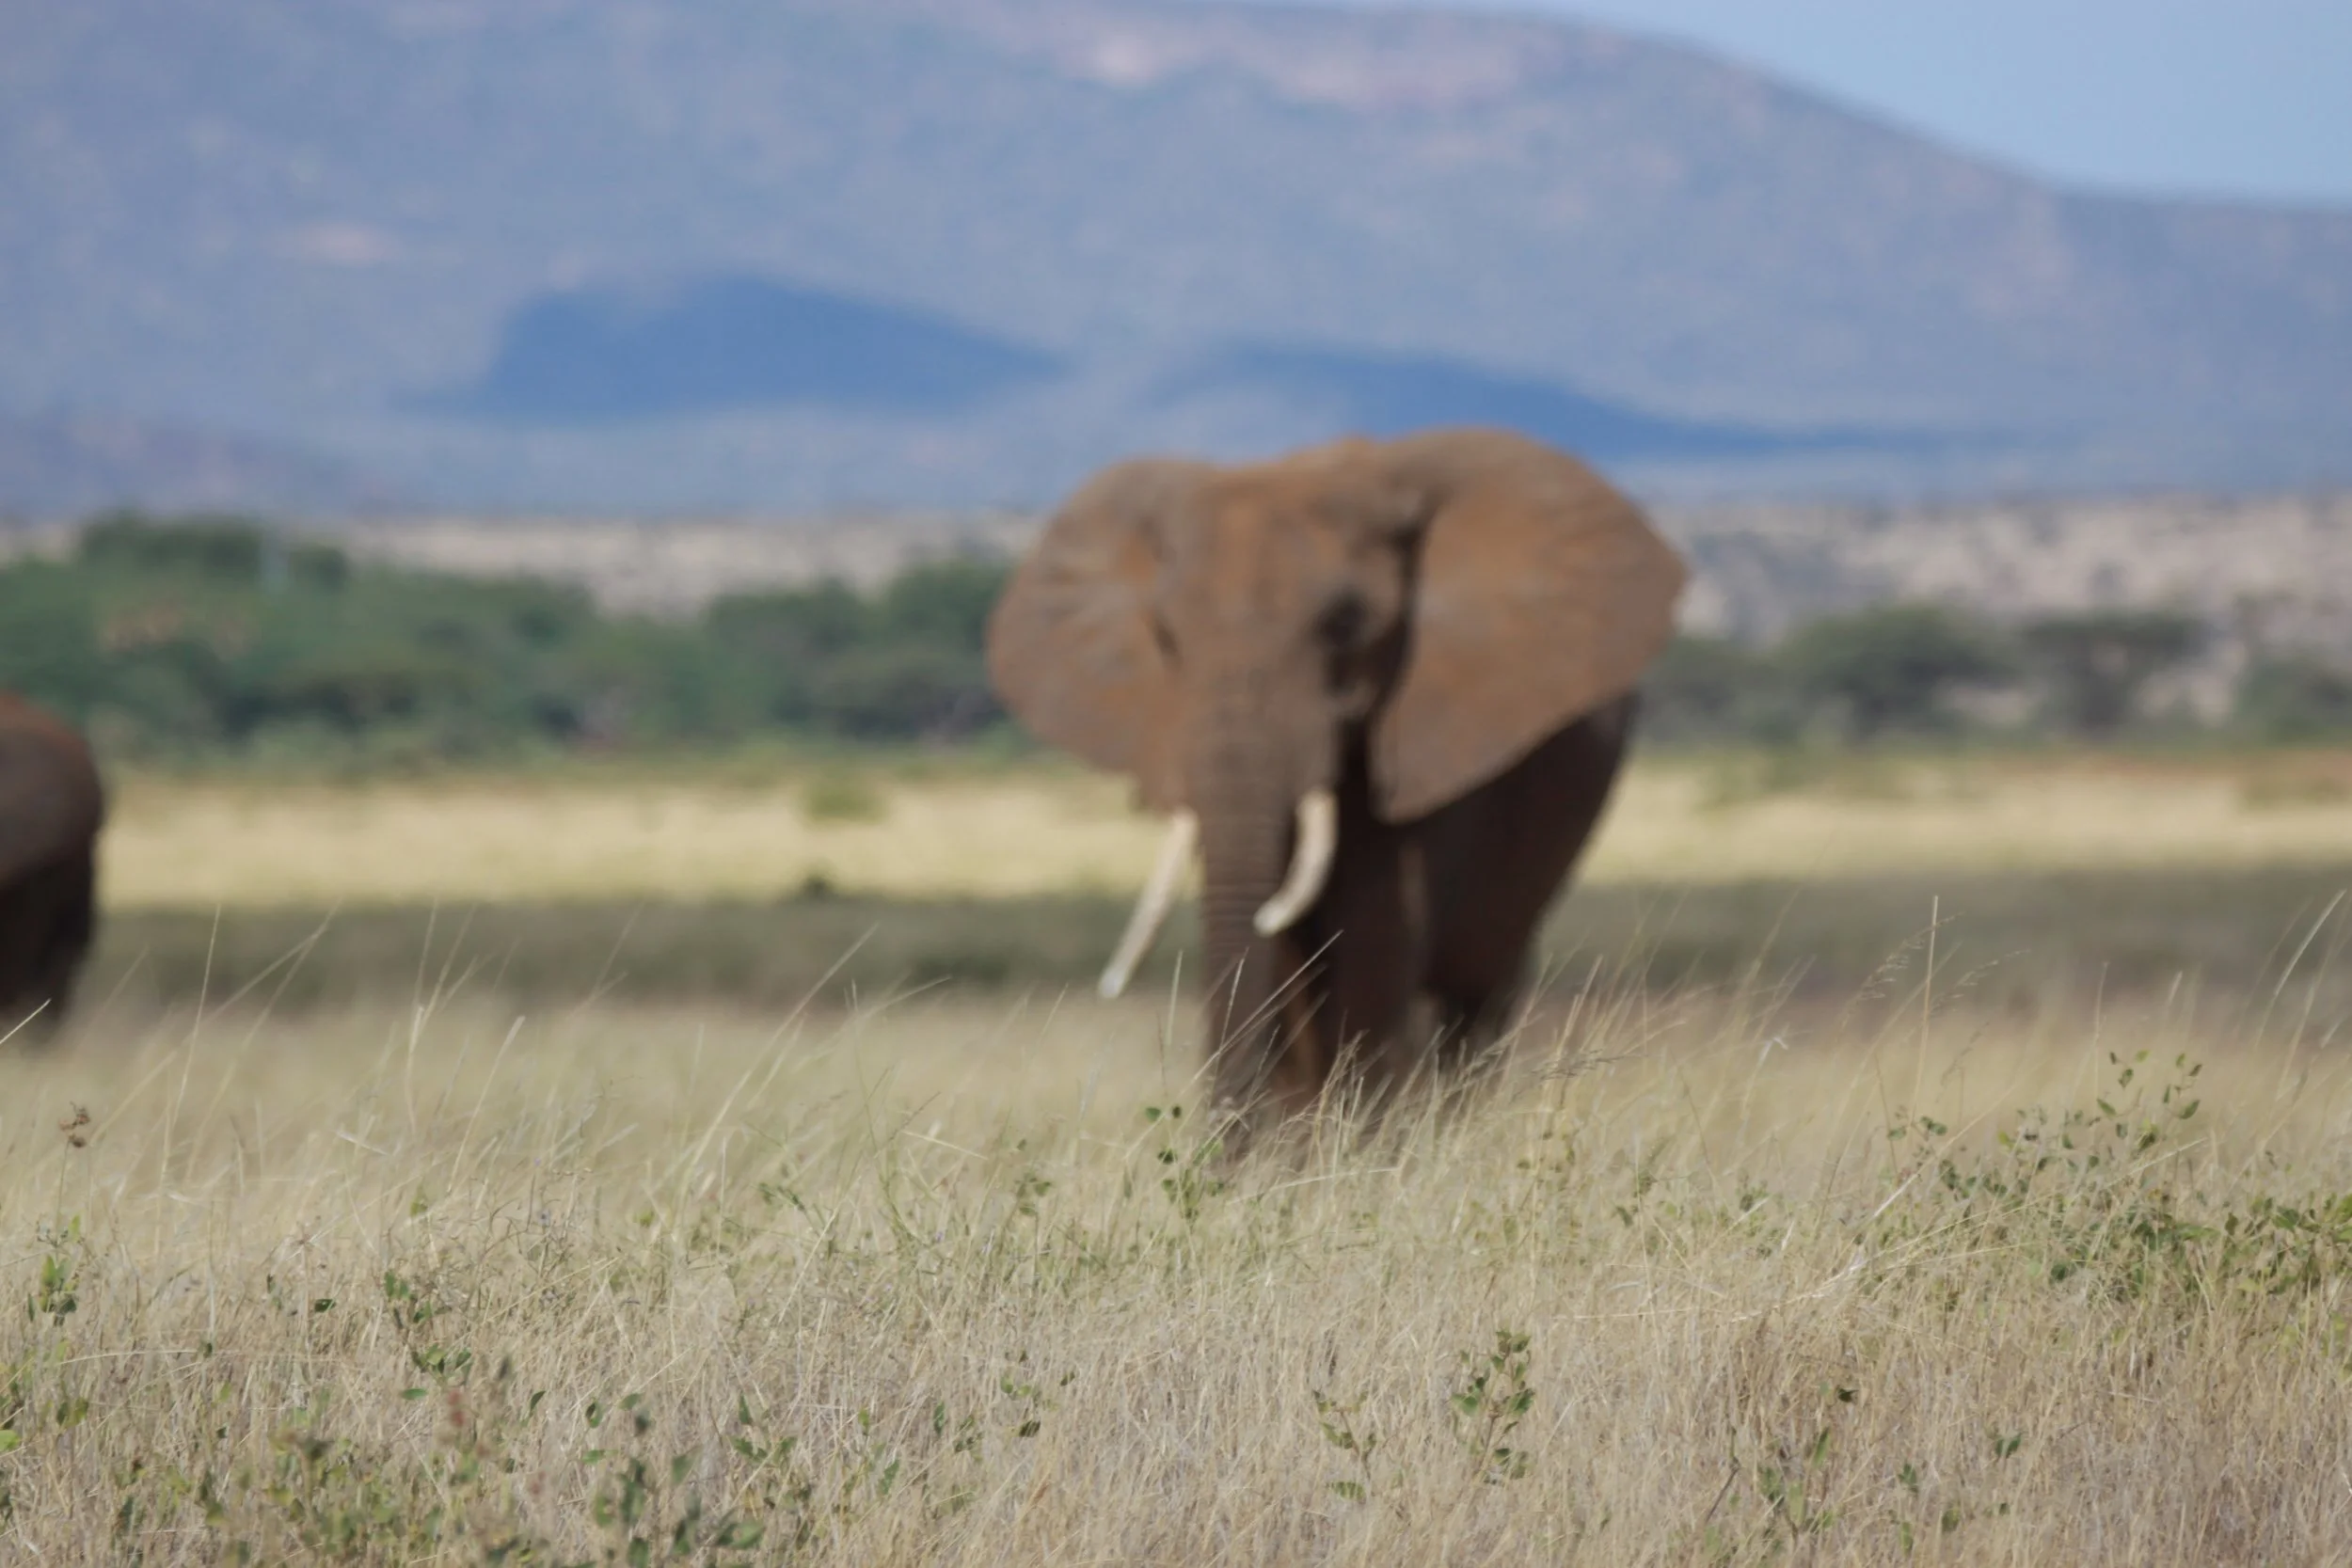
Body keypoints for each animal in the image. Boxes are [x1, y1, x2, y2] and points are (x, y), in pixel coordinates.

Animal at [987, 427, 1686, 1130]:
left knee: (1476, 995)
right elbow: (1282, 954)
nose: (1218, 1155)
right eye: (1165, 635)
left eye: (1345, 625)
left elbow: (1370, 952)